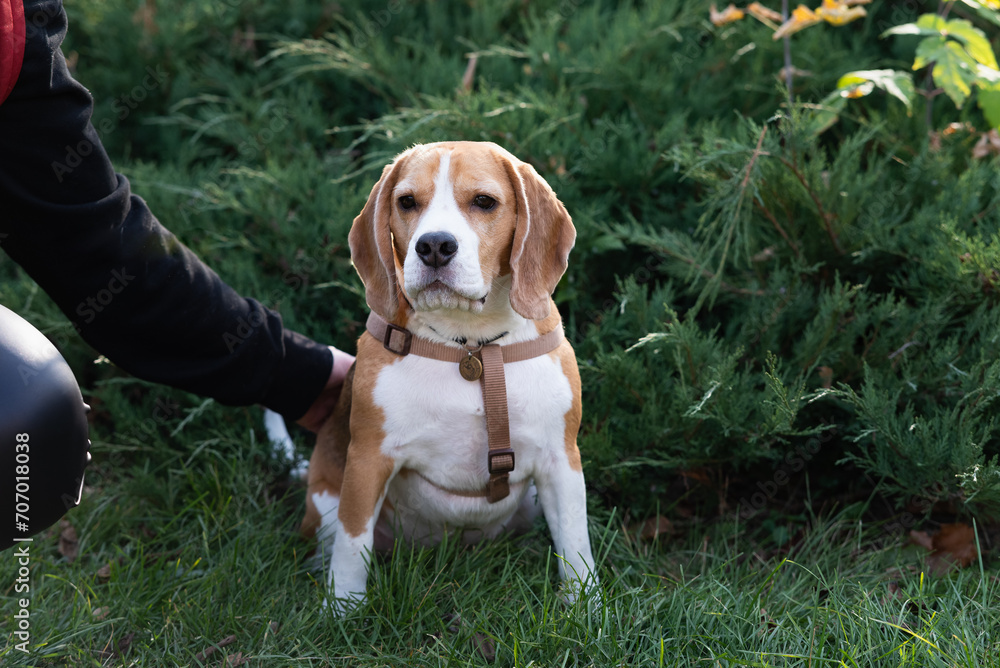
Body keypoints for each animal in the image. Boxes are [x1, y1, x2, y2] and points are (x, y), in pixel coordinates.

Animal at [300, 141, 596, 612]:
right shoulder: (366, 461)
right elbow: (351, 546)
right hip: (327, 496)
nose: (435, 245)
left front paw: (588, 612)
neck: (470, 349)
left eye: (484, 202)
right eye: (406, 202)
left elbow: (576, 547)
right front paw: (342, 610)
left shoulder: (560, 461)